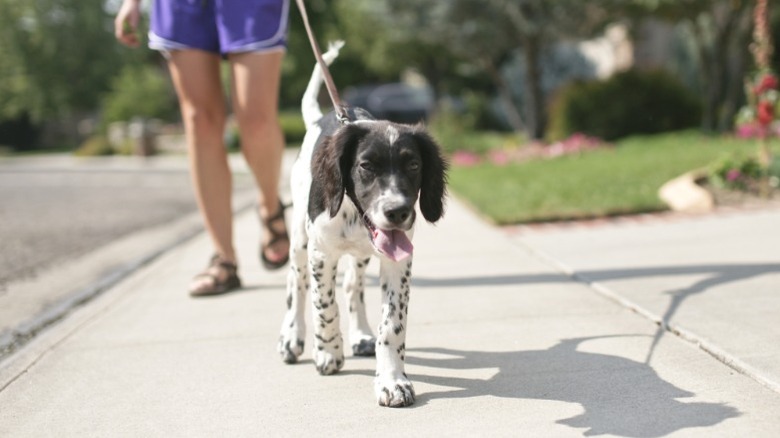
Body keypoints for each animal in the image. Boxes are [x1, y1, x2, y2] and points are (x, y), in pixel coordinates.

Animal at [278, 43, 450, 408]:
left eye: (414, 165)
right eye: (366, 166)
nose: (398, 211)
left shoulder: (398, 261)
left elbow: (392, 325)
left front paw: (392, 380)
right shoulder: (321, 254)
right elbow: (323, 306)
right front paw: (328, 352)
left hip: (361, 254)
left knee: (352, 286)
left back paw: (360, 335)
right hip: (300, 240)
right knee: (296, 284)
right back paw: (292, 337)